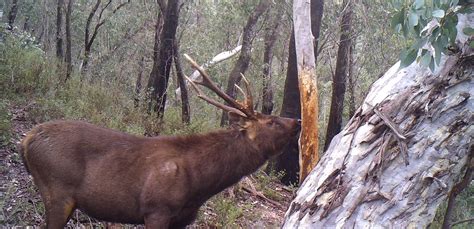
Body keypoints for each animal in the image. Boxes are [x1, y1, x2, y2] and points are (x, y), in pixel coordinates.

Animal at [20, 54, 300, 228]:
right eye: (271, 122)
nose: (297, 120)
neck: (200, 184)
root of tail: (27, 139)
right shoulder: (156, 209)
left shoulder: (181, 220)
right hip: (57, 190)